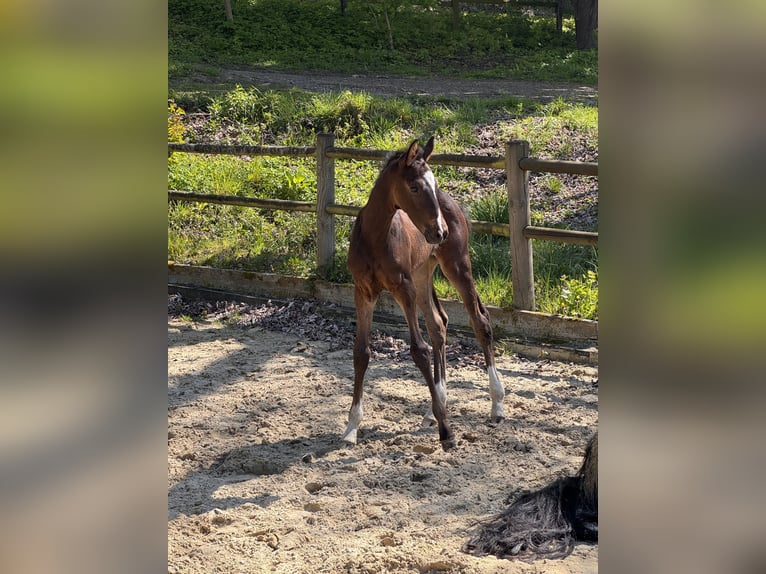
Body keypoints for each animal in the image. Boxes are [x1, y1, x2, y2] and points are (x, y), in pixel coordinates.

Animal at [341, 136, 506, 451]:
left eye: (432, 181)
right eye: (414, 187)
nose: (439, 231)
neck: (374, 239)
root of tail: (452, 201)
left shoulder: (403, 288)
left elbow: (419, 350)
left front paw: (447, 431)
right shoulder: (363, 291)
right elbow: (361, 352)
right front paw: (351, 427)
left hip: (456, 266)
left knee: (480, 322)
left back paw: (496, 404)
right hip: (422, 275)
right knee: (438, 324)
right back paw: (434, 406)